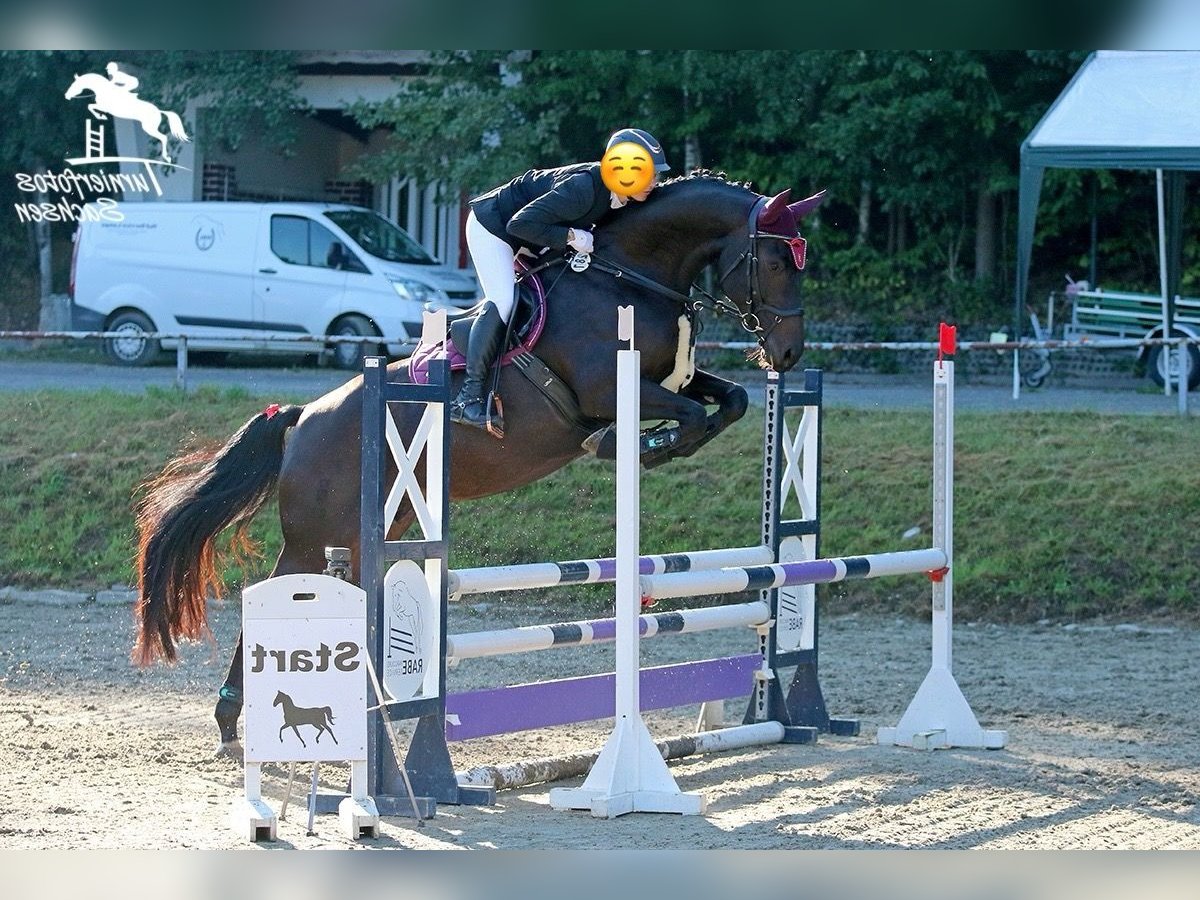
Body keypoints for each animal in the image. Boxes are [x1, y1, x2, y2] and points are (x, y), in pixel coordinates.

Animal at [133, 170, 825, 753]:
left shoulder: (676, 380)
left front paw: (660, 444)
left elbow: (730, 401)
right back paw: (232, 717)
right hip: (316, 535)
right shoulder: (610, 389)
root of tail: (302, 418)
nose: (789, 353)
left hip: (372, 531)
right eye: (772, 261)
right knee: (278, 596)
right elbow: (682, 417)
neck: (630, 275)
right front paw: (634, 446)